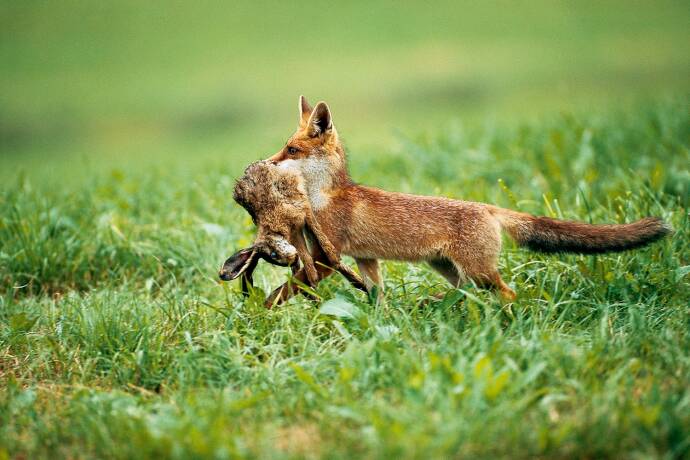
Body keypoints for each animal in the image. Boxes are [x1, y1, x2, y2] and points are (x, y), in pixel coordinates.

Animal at [262, 96, 668, 306]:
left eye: (291, 150)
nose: (267, 162)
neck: (324, 197)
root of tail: (486, 207)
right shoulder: (365, 258)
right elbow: (376, 294)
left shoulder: (327, 256)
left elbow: (286, 289)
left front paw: (260, 312)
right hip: (451, 270)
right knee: (473, 294)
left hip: (478, 272)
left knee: (509, 292)